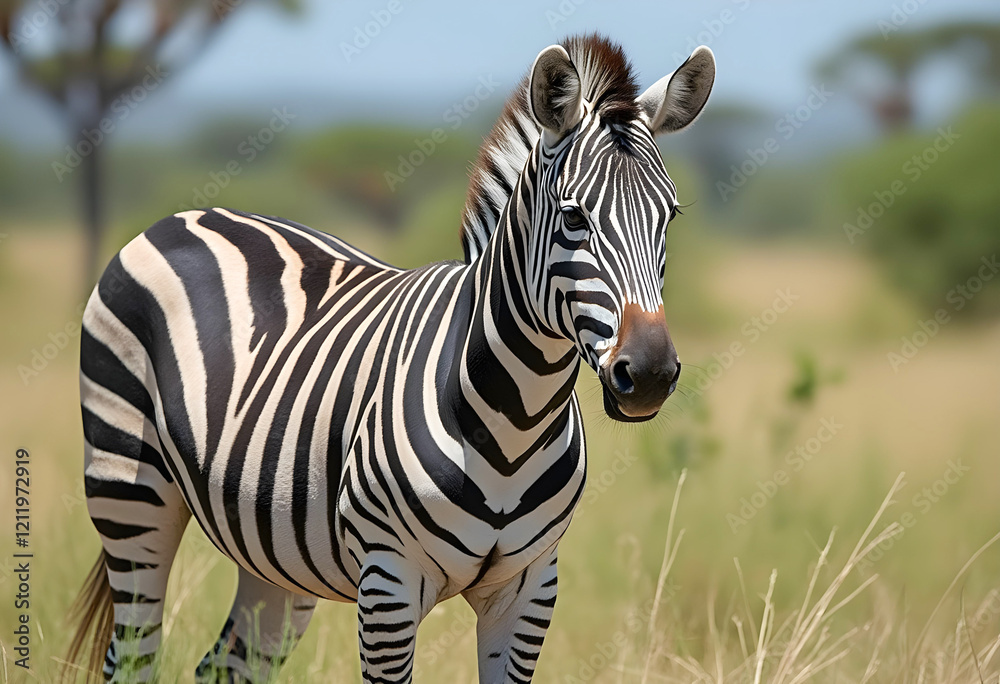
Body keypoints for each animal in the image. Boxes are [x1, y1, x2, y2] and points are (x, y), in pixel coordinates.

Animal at [68, 33, 714, 683]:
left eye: (671, 215)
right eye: (574, 216)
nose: (650, 373)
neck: (516, 420)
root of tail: (190, 214)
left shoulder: (530, 585)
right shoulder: (389, 581)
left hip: (271, 545)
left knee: (223, 665)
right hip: (128, 489)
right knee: (131, 656)